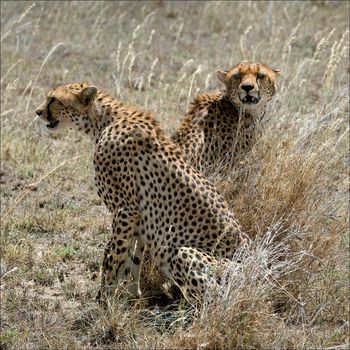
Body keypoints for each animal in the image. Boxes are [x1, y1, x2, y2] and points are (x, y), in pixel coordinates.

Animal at [34, 83, 249, 302]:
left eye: (53, 99)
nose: (38, 111)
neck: (103, 121)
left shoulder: (125, 210)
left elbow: (113, 256)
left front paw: (104, 300)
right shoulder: (138, 219)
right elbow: (132, 259)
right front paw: (131, 297)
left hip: (181, 253)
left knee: (216, 297)